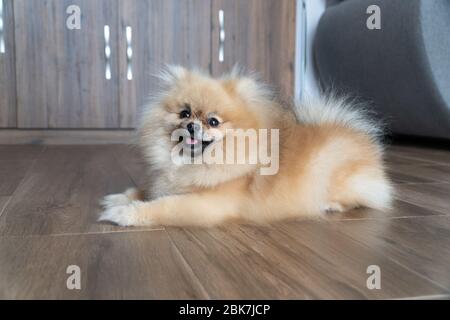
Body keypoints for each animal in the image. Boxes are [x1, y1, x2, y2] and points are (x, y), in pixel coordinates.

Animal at [99, 65, 394, 228]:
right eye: (185, 113)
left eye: (213, 121)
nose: (193, 125)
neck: (191, 163)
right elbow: (148, 190)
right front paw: (121, 197)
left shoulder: (206, 204)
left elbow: (163, 207)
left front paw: (123, 213)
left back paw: (330, 205)